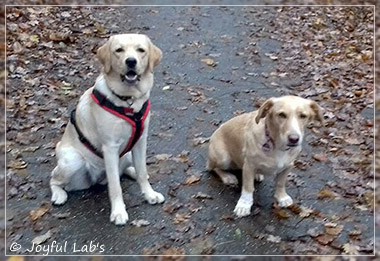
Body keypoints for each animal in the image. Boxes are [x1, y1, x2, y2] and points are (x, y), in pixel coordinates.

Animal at [49, 33, 164, 224]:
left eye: (141, 50)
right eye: (119, 50)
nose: (131, 61)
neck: (128, 101)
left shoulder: (141, 141)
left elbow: (142, 171)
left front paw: (149, 194)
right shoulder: (110, 147)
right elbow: (115, 186)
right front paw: (118, 212)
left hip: (126, 154)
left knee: (127, 169)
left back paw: (132, 172)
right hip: (72, 160)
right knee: (54, 179)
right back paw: (59, 195)